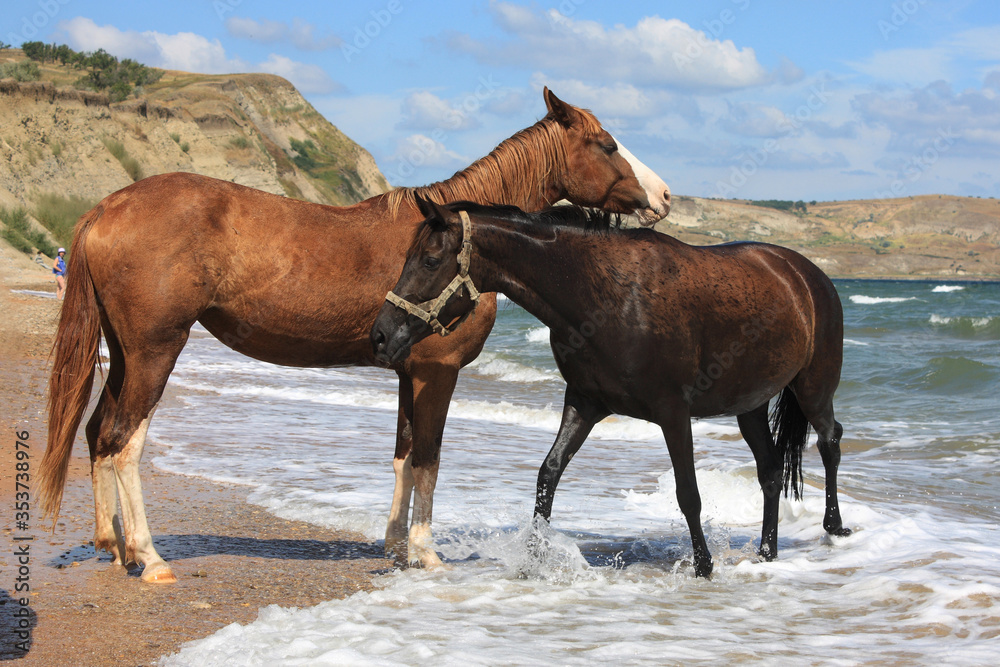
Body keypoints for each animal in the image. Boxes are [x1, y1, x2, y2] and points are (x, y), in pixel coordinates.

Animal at [38, 88, 671, 583]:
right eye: (607, 144)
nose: (665, 196)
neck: (454, 243)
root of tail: (109, 205)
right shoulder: (437, 372)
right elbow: (429, 458)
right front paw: (425, 552)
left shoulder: (407, 371)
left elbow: (403, 457)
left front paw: (395, 548)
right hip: (155, 351)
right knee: (124, 441)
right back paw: (150, 557)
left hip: (124, 354)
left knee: (97, 433)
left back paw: (115, 548)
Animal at [370, 199, 852, 578]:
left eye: (430, 261)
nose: (380, 335)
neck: (606, 296)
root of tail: (808, 276)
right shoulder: (584, 403)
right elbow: (547, 475)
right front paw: (533, 560)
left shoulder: (672, 412)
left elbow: (688, 494)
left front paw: (703, 566)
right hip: (749, 405)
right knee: (770, 471)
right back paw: (767, 552)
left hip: (813, 389)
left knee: (830, 440)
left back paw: (834, 527)